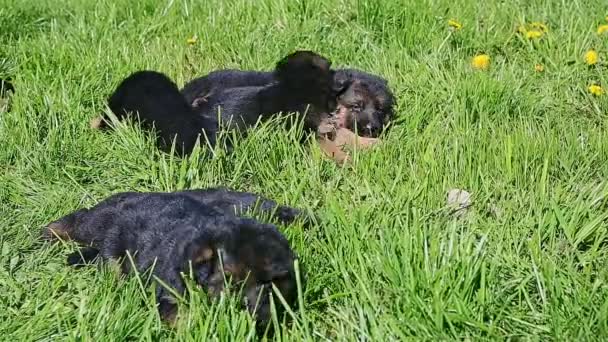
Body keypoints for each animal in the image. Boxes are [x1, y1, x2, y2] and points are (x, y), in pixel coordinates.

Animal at [43, 187, 306, 332]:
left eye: (270, 285)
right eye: (231, 281)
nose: (253, 313)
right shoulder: (170, 290)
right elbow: (181, 314)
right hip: (99, 220)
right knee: (80, 218)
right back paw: (48, 233)